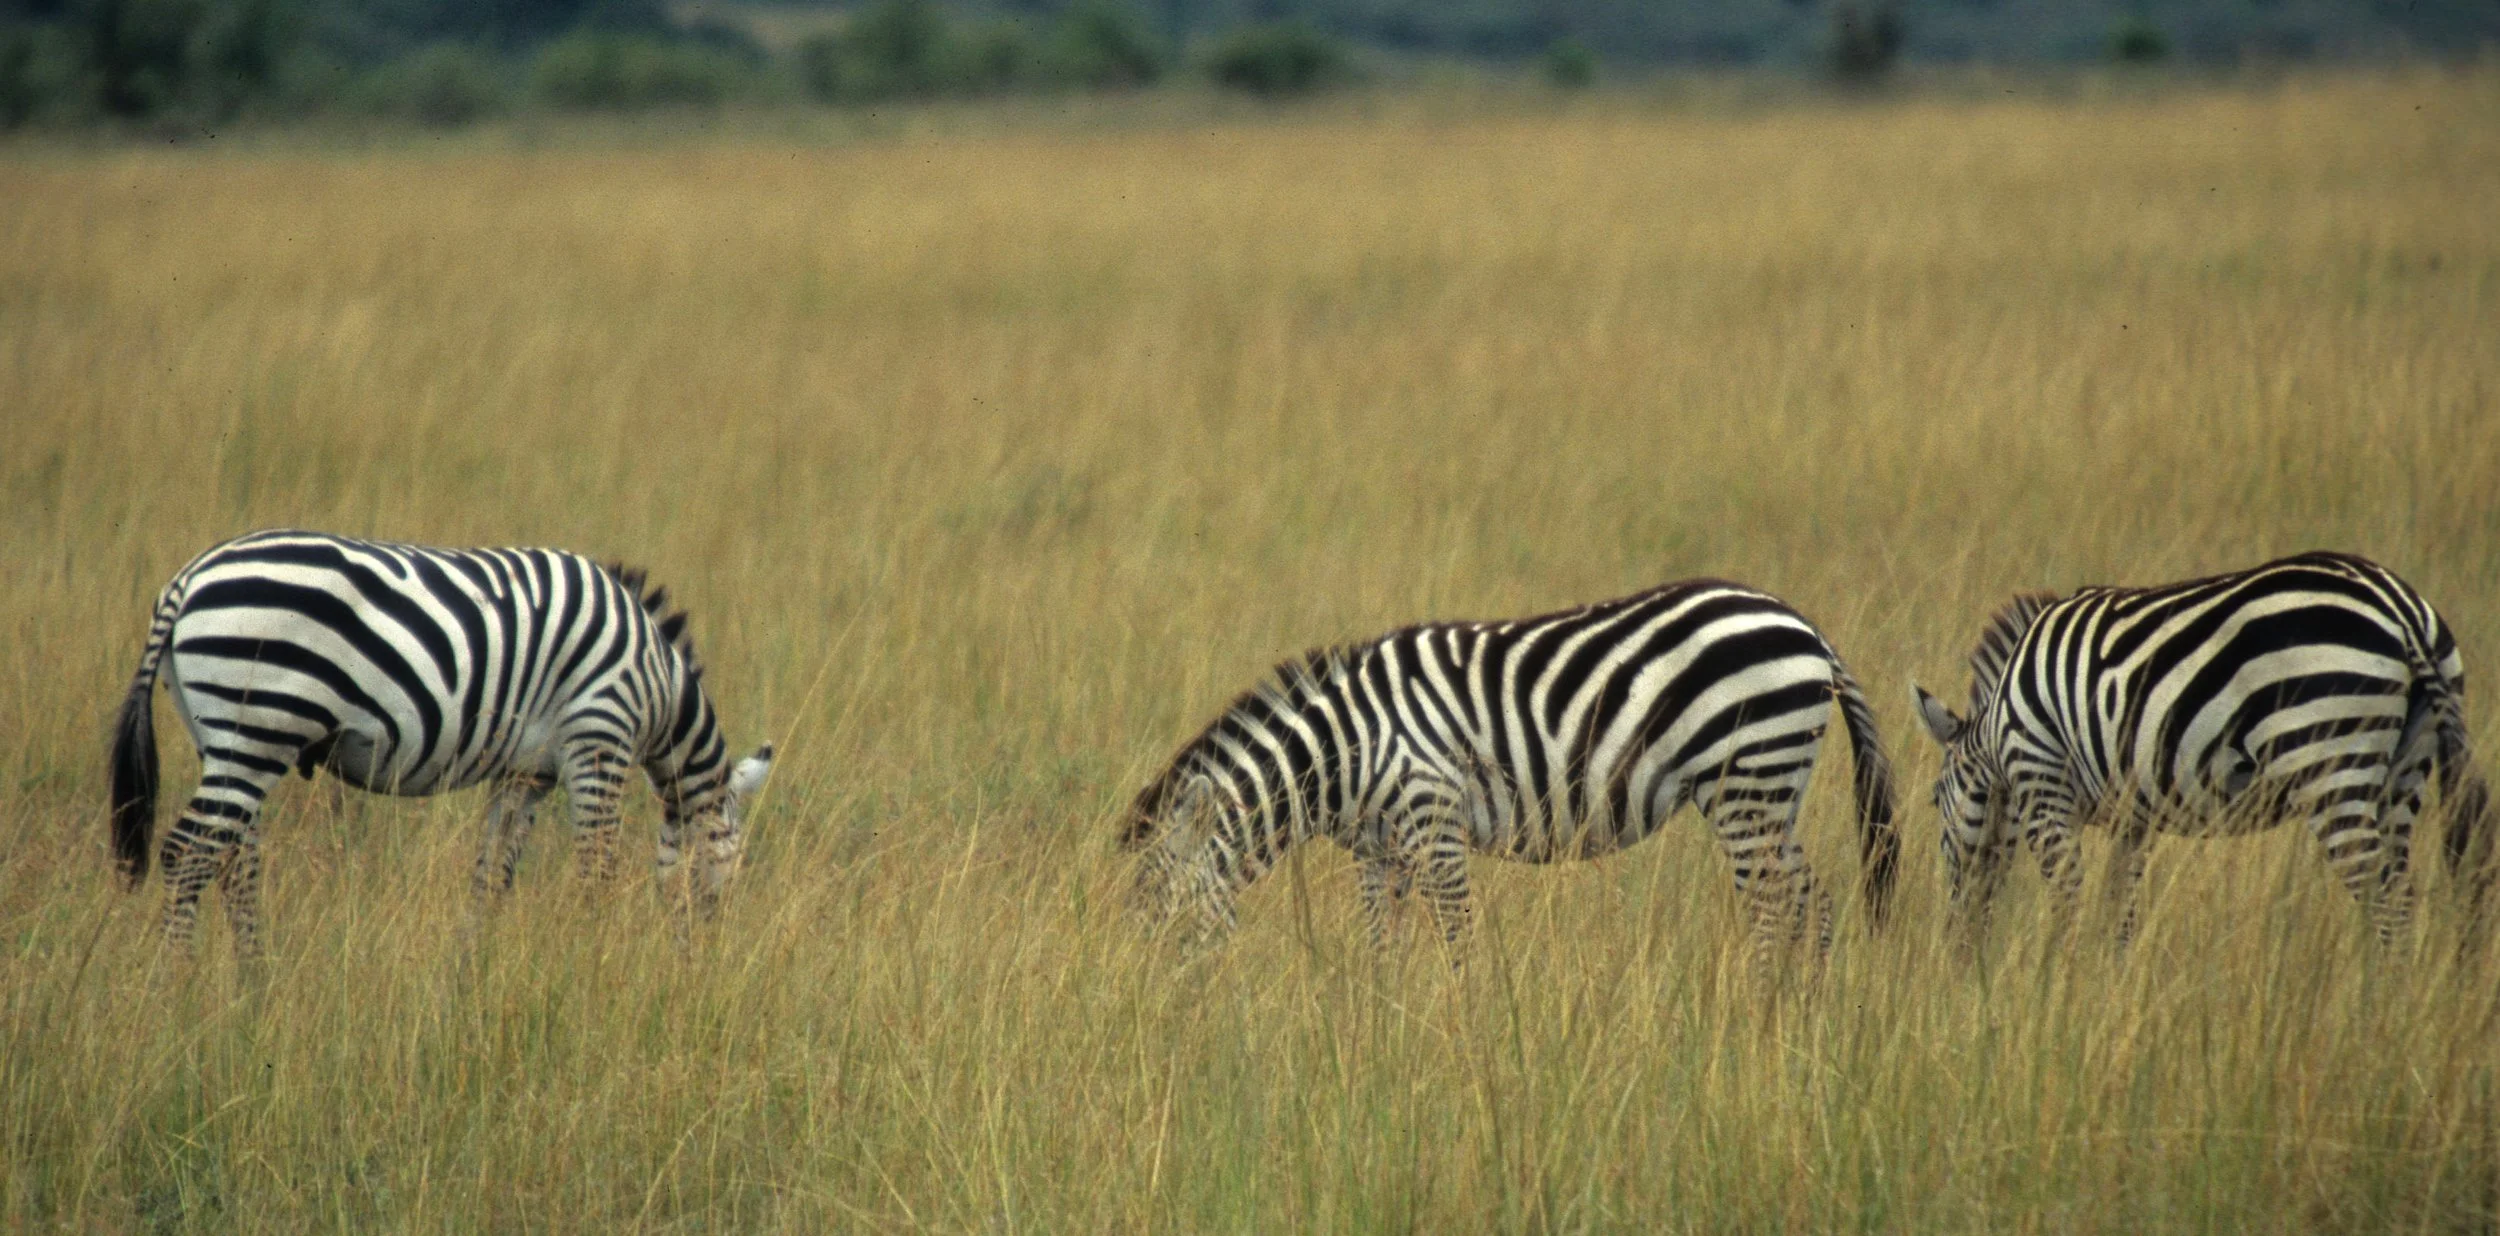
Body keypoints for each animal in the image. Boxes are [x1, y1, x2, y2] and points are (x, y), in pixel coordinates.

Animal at [108, 530, 776, 965]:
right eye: (732, 873)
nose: (701, 963)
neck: (660, 685)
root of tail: (185, 581)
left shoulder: (525, 774)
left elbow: (491, 876)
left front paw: (470, 971)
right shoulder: (599, 738)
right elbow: (598, 872)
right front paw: (595, 964)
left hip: (229, 738)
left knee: (233, 861)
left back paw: (253, 989)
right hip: (259, 722)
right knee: (188, 853)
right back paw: (178, 989)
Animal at [1120, 579, 1899, 970]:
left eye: (1162, 917)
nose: (1164, 1019)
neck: (1345, 750)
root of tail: (1808, 630)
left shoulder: (1431, 819)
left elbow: (1458, 941)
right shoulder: (1380, 850)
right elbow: (1382, 953)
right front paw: (1378, 1043)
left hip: (1746, 778)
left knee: (1771, 907)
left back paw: (1759, 1016)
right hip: (1771, 790)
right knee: (1812, 902)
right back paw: (1799, 1019)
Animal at [1911, 551, 2492, 951]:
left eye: (1935, 799)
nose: (1957, 945)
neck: (1997, 731)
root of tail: (2401, 609)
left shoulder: (2042, 783)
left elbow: (2069, 902)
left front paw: (2062, 993)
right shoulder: (2133, 817)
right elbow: (2120, 913)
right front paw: (2107, 991)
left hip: (2328, 758)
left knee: (2383, 899)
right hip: (2406, 768)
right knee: (2403, 896)